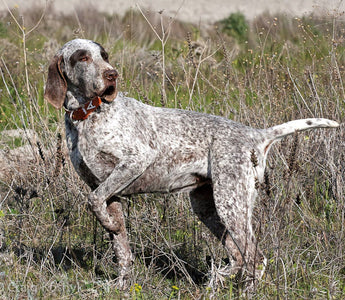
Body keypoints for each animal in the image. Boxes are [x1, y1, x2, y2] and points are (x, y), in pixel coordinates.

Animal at [44, 38, 338, 290]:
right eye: (83, 57)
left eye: (104, 56)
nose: (112, 74)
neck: (87, 116)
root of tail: (256, 135)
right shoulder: (109, 191)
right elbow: (121, 247)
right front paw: (122, 284)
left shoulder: (136, 160)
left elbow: (93, 201)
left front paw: (109, 226)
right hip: (207, 206)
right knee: (239, 257)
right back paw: (219, 279)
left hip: (231, 203)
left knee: (255, 258)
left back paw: (242, 289)